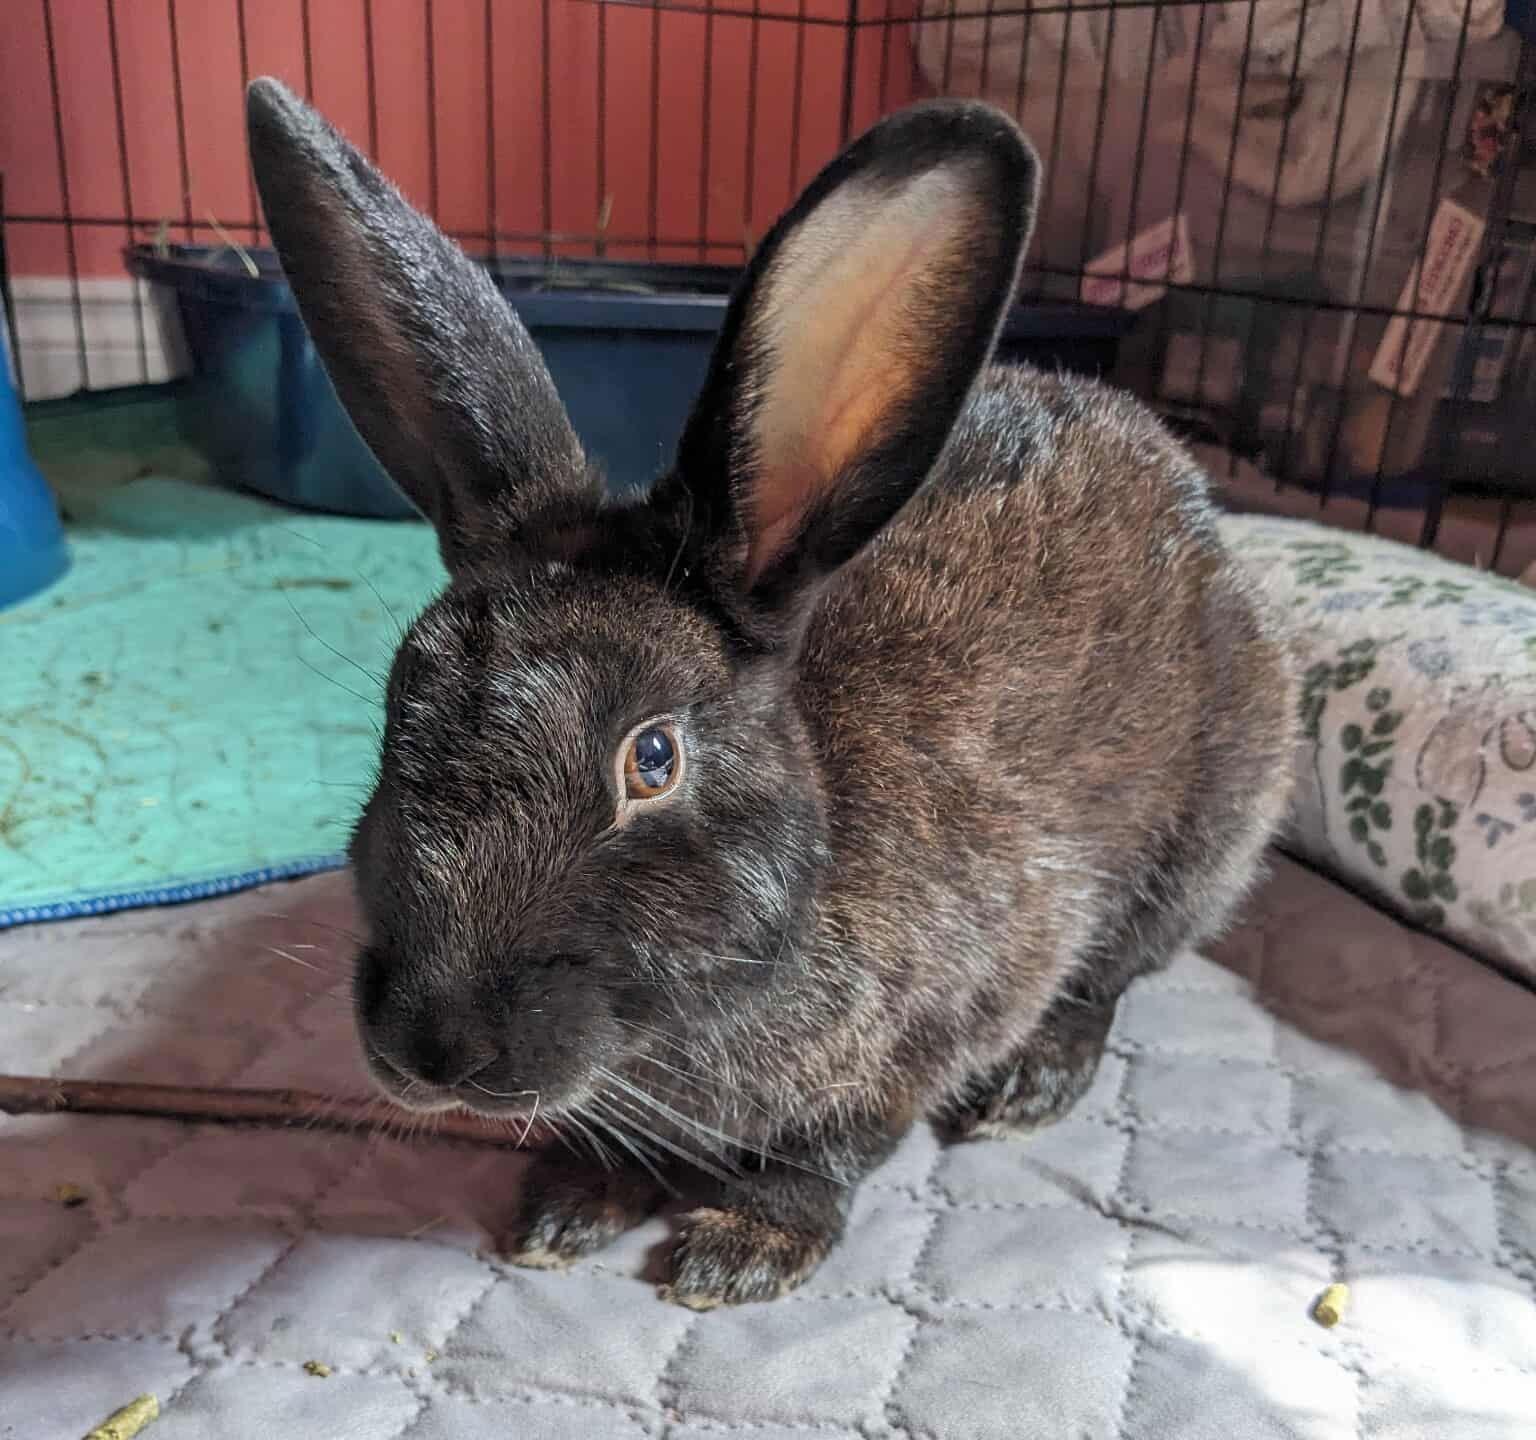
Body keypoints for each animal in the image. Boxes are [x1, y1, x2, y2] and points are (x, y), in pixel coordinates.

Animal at [246, 77, 1298, 1308]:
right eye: (398, 709)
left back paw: (1032, 1086)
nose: (432, 1047)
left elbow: (826, 1156)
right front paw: (570, 1209)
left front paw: (737, 1252)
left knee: (1116, 976)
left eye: (652, 758)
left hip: (1208, 832)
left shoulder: (924, 1036)